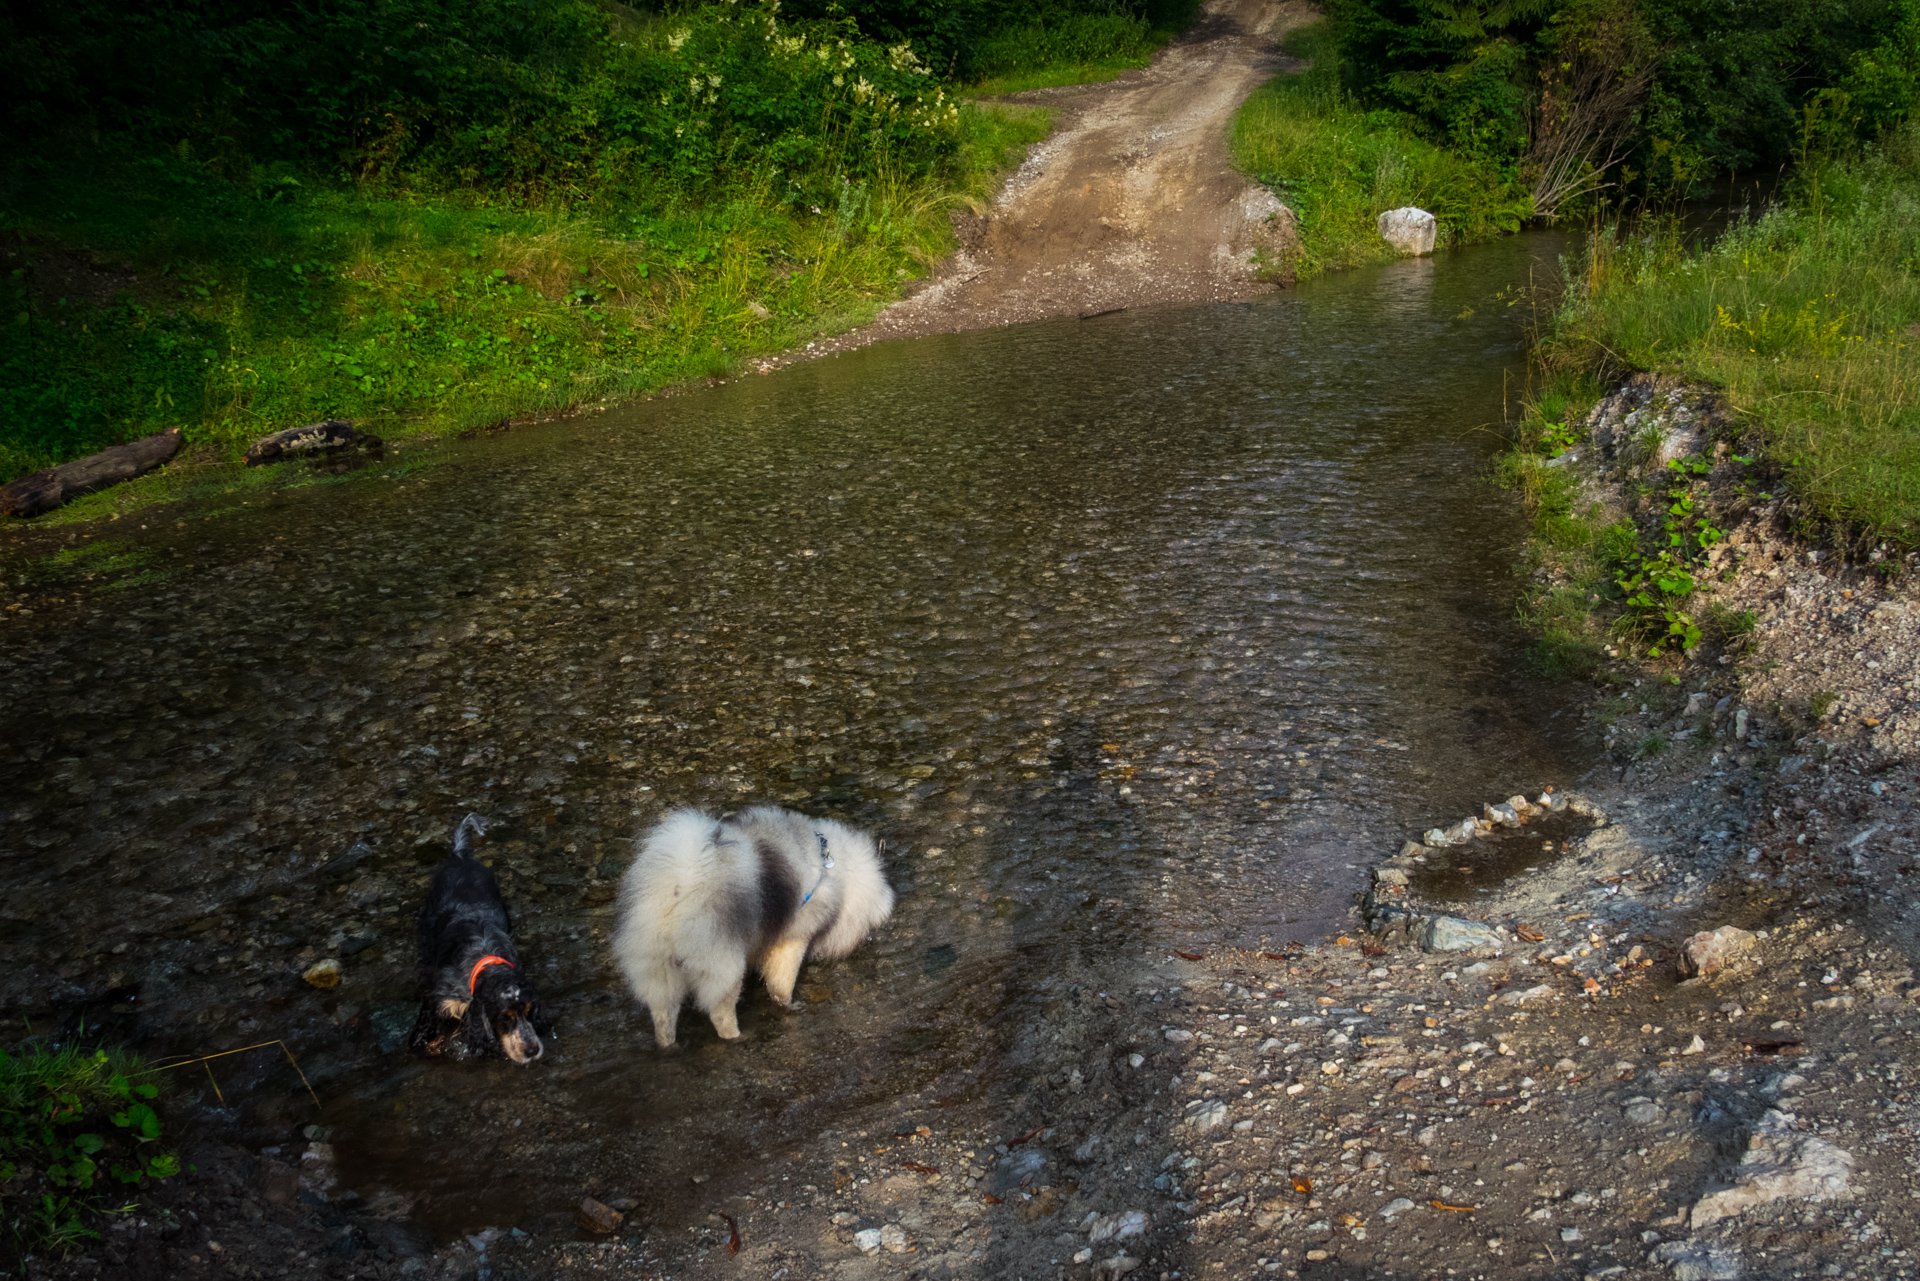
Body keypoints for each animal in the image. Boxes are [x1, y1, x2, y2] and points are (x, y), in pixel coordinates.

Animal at [407, 818, 552, 1067]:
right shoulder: (438, 1000)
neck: (484, 958)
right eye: (505, 1018)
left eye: (529, 1011)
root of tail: (460, 857)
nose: (533, 1050)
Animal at [610, 806, 894, 1044]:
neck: (830, 864)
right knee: (720, 1014)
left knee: (663, 1016)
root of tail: (679, 885)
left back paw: (667, 1044)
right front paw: (790, 1006)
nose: (870, 938)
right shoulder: (792, 939)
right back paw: (737, 1036)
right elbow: (781, 985)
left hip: (657, 970)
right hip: (723, 966)